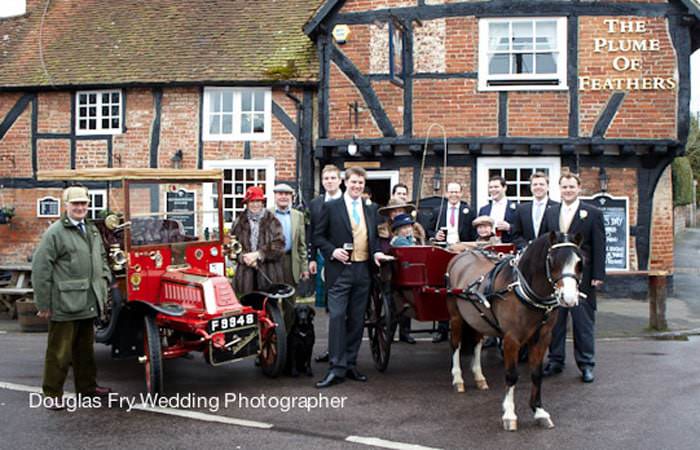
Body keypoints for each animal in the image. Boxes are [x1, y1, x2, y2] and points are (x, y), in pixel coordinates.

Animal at [446, 230, 584, 430]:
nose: (569, 298)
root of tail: (463, 253)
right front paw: (509, 415)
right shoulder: (511, 339)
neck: (524, 291)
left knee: (477, 344)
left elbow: (536, 373)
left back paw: (479, 377)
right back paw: (458, 379)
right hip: (456, 316)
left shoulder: (543, 337)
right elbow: (511, 375)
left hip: (478, 317)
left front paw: (539, 411)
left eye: (580, 262)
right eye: (552, 261)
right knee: (455, 344)